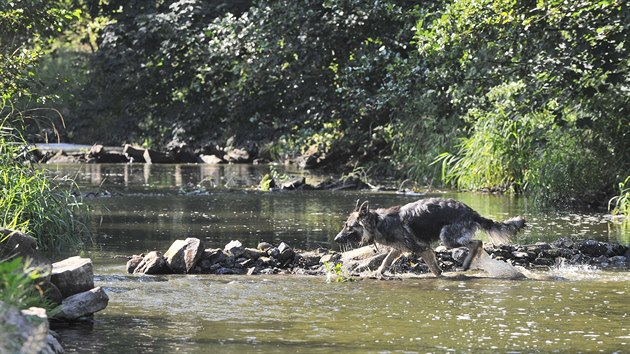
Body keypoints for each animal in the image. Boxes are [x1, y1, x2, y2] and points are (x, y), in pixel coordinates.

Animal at [336, 196, 528, 276]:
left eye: (348, 226)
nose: (336, 239)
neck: (377, 222)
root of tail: (472, 212)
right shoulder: (399, 249)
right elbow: (385, 262)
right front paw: (377, 274)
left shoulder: (423, 249)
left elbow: (436, 270)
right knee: (476, 243)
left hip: (447, 238)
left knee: (478, 243)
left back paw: (466, 263)